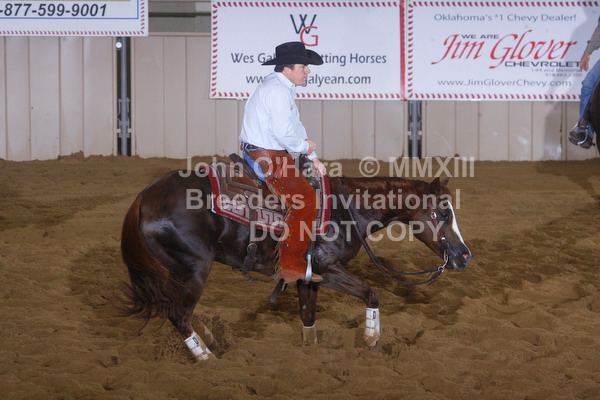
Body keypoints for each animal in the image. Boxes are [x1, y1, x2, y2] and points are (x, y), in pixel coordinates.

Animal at [120, 157, 472, 361]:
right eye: (443, 212)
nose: (464, 256)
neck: (346, 208)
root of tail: (142, 199)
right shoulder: (327, 268)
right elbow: (372, 293)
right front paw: (371, 340)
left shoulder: (307, 275)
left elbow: (307, 314)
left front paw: (310, 350)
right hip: (194, 269)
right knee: (178, 315)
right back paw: (207, 356)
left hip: (177, 271)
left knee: (178, 310)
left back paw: (209, 337)